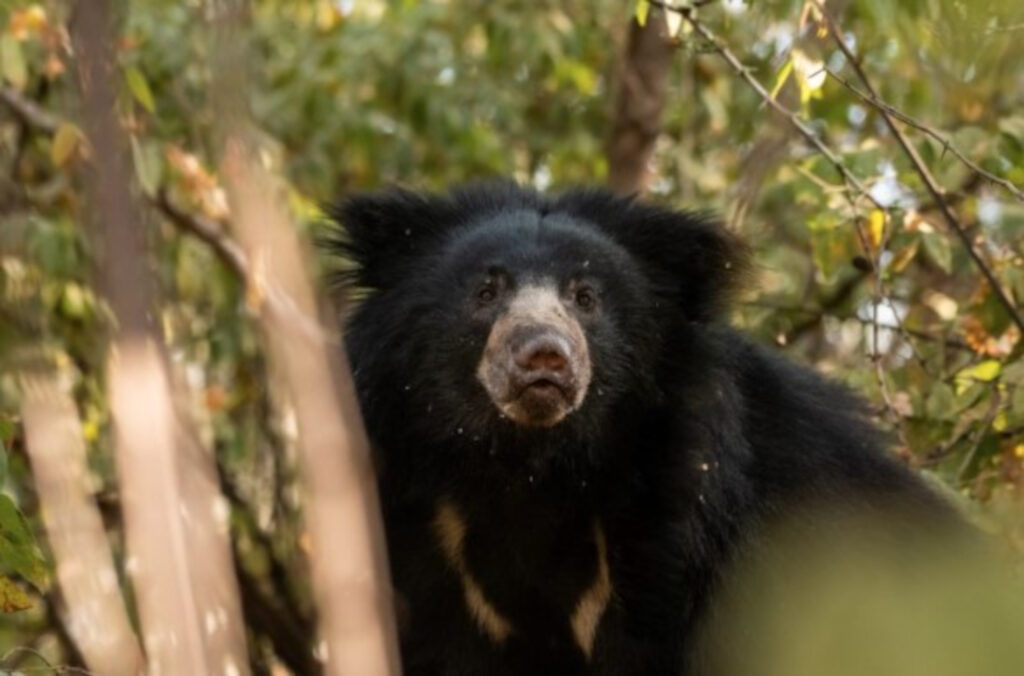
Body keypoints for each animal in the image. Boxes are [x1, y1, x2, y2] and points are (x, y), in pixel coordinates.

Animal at [331, 184, 954, 676]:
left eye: (586, 297)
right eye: (486, 292)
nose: (543, 356)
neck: (532, 468)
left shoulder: (689, 530)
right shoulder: (427, 537)